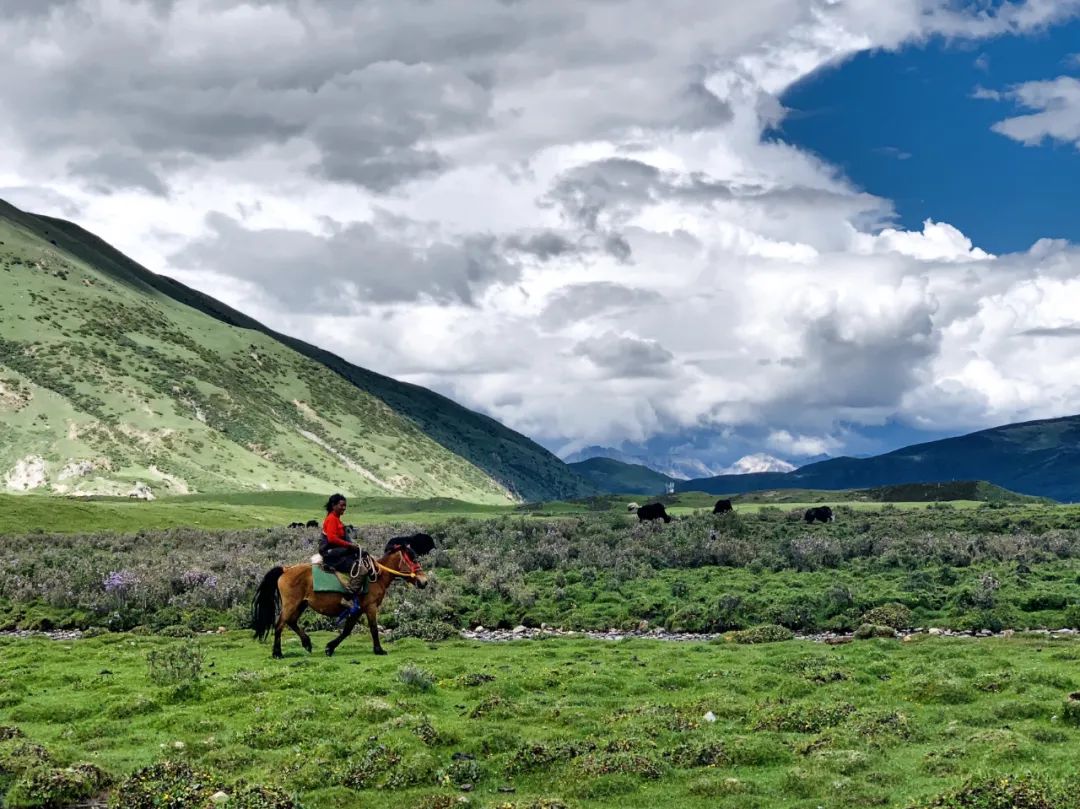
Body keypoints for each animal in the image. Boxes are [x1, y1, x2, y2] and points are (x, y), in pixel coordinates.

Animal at [251, 535, 429, 656]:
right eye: (413, 559)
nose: (424, 581)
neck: (377, 576)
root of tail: (285, 569)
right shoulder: (370, 607)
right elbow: (373, 628)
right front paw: (379, 650)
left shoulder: (357, 609)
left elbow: (347, 630)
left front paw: (330, 647)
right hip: (291, 604)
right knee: (280, 624)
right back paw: (277, 653)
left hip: (301, 604)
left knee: (291, 621)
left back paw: (307, 643)